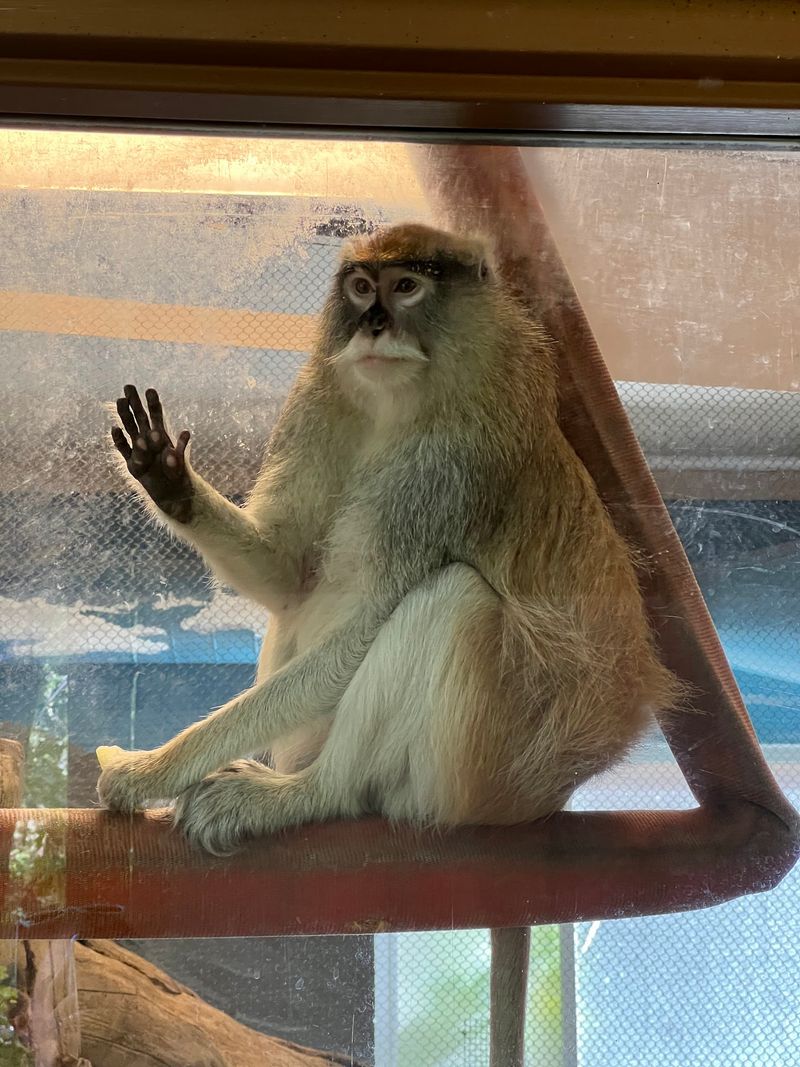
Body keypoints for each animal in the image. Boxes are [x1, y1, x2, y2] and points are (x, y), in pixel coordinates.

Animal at [98, 222, 679, 860]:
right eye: (359, 287)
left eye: (405, 286)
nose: (373, 323)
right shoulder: (318, 407)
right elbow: (289, 575)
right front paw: (166, 477)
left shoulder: (447, 471)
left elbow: (358, 632)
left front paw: (145, 772)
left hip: (482, 776)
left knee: (453, 599)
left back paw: (311, 793)